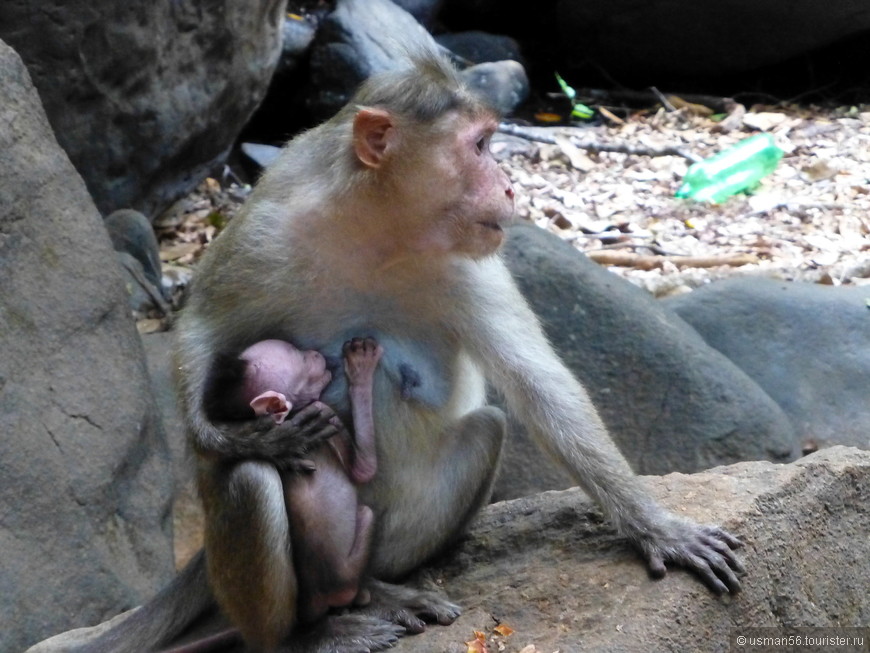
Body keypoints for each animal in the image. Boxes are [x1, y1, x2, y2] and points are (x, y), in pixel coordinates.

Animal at [206, 336, 384, 620]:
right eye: (298, 356)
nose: (314, 353)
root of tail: (322, 595)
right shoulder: (324, 411)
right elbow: (365, 469)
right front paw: (361, 368)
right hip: (349, 570)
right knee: (367, 513)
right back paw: (362, 595)